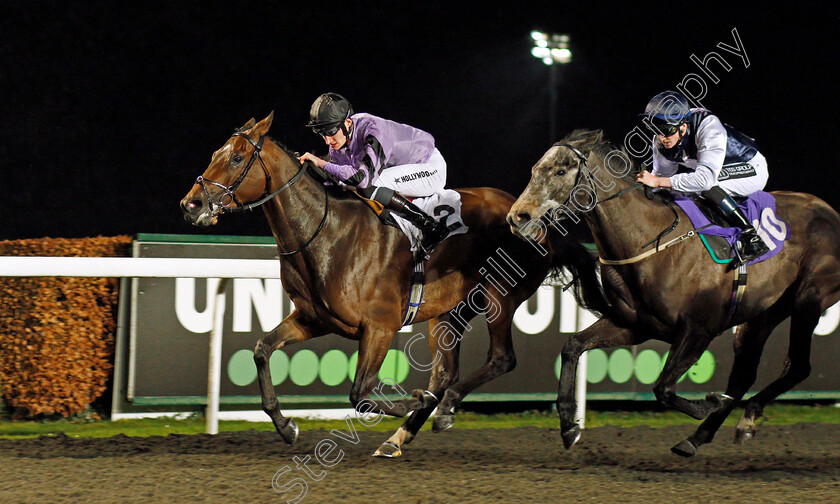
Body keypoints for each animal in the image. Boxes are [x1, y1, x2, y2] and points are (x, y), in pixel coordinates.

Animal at [182, 113, 612, 456]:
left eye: (237, 157)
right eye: (216, 153)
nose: (191, 205)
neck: (327, 233)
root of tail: (536, 222)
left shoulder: (380, 326)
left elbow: (360, 393)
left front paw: (412, 401)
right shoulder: (313, 319)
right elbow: (261, 350)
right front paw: (287, 427)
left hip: (499, 297)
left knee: (501, 359)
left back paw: (443, 409)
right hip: (448, 312)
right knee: (445, 372)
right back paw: (401, 436)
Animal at [506, 129, 840, 456]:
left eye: (560, 171)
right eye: (535, 169)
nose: (517, 217)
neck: (650, 241)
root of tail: (831, 213)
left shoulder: (699, 329)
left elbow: (663, 388)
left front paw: (709, 402)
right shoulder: (635, 326)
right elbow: (572, 346)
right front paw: (569, 426)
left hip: (809, 300)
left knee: (798, 366)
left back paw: (745, 414)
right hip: (762, 314)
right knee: (745, 374)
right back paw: (703, 435)